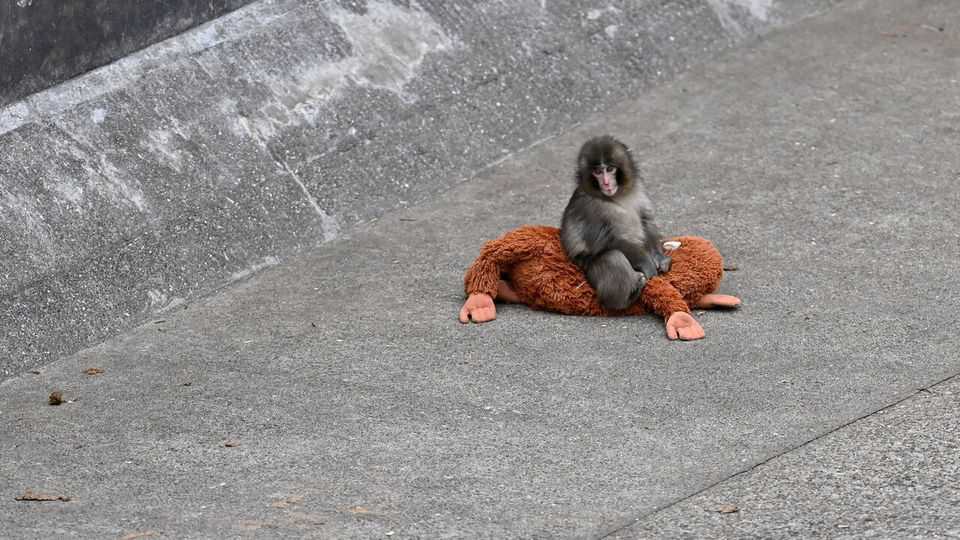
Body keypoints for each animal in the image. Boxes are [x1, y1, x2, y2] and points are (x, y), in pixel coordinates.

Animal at [560, 135, 671, 311]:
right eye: (598, 172)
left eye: (610, 169)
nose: (606, 183)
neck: (616, 196)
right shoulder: (589, 207)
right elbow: (609, 241)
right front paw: (647, 264)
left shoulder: (639, 188)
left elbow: (646, 221)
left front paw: (660, 258)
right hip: (586, 266)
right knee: (613, 256)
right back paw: (624, 299)